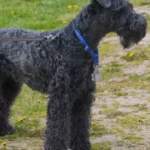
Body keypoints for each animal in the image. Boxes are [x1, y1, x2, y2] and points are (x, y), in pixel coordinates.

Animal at [0, 0, 146, 150]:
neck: (76, 42)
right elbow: (57, 127)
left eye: (131, 7)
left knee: (3, 105)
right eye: (121, 9)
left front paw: (81, 145)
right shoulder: (60, 98)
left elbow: (81, 123)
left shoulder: (83, 96)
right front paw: (55, 147)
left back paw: (5, 130)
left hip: (9, 85)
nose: (142, 24)